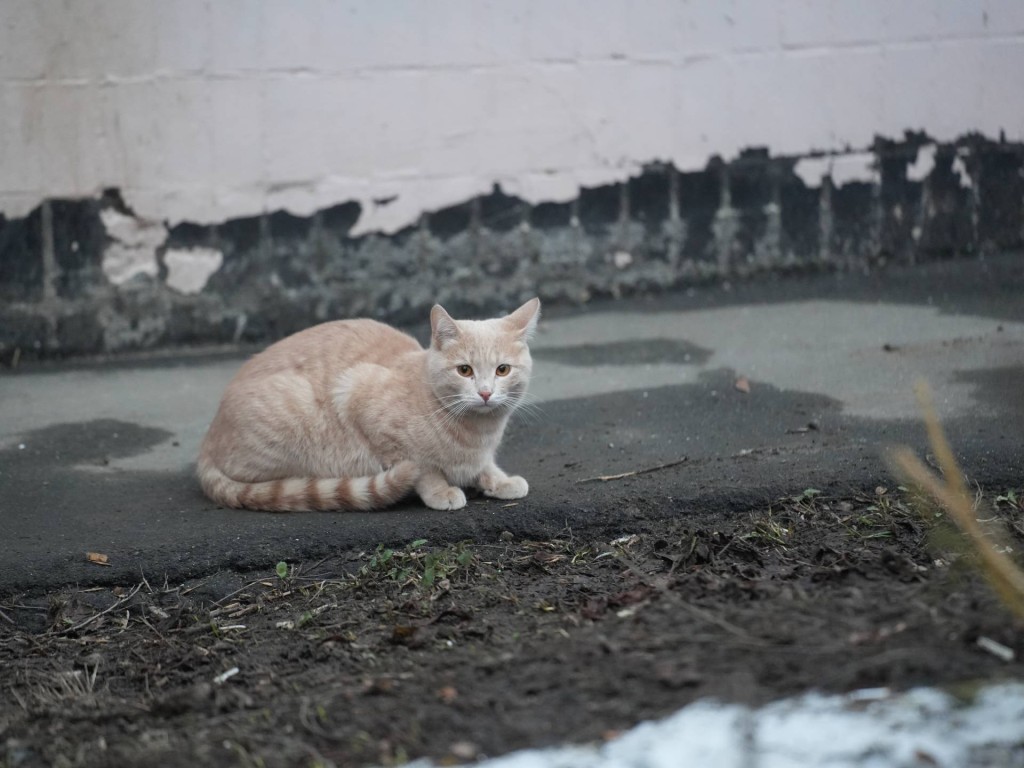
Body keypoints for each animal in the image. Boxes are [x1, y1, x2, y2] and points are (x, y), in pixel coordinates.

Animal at [194, 296, 540, 514]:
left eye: (502, 370)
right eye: (465, 370)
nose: (485, 393)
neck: (477, 433)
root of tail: (206, 442)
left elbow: (485, 467)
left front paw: (500, 480)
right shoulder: (360, 398)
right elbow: (423, 469)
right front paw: (441, 490)